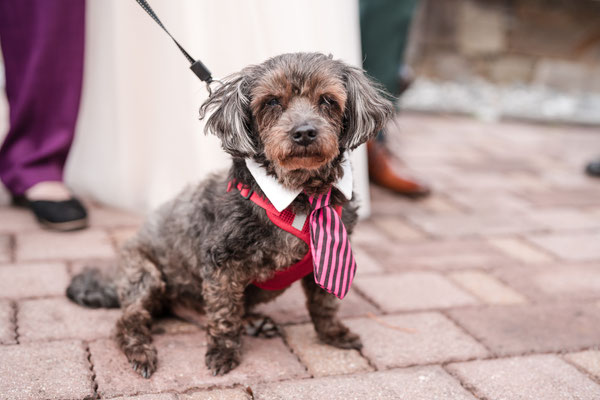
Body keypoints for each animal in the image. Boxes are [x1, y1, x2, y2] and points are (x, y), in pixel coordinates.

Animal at [65, 51, 394, 376]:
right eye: (271, 102)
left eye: (327, 100)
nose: (304, 132)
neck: (304, 196)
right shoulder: (221, 264)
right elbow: (223, 313)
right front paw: (223, 351)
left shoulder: (328, 256)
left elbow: (324, 303)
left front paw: (333, 334)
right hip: (144, 273)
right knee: (130, 320)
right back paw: (141, 351)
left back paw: (252, 322)